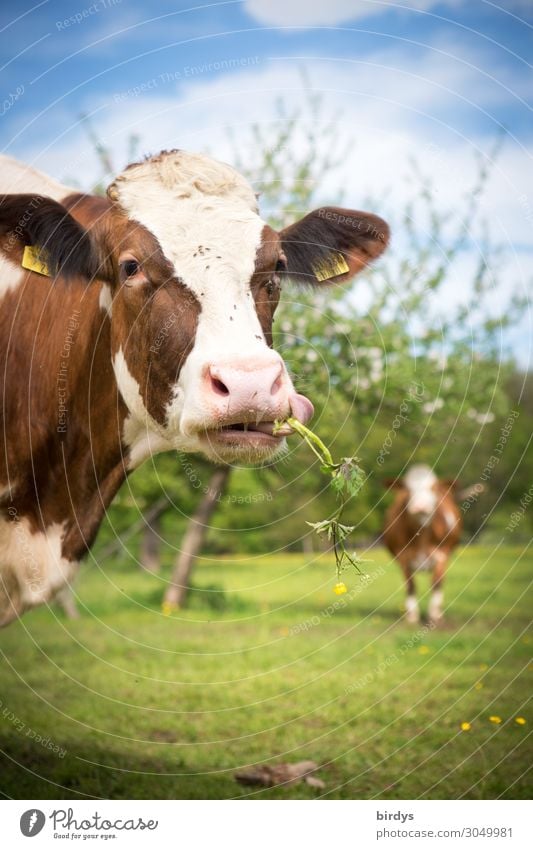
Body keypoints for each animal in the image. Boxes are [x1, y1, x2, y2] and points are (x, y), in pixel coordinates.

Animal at [382, 464, 462, 624]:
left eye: (433, 488)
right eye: (407, 488)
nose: (420, 506)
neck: (422, 537)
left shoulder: (441, 555)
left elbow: (437, 583)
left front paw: (434, 615)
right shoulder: (403, 557)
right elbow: (410, 585)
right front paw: (412, 617)